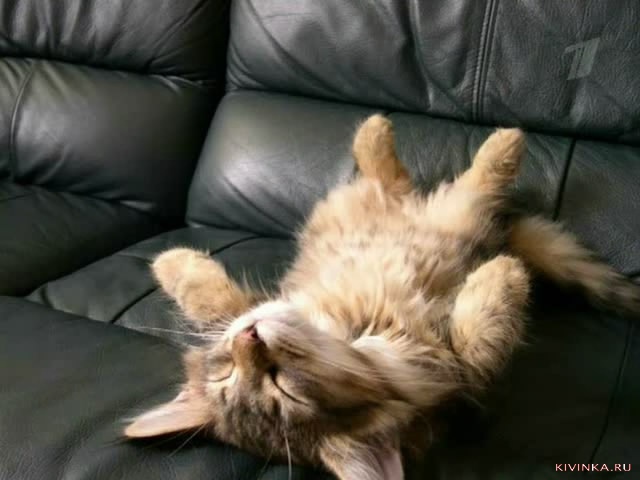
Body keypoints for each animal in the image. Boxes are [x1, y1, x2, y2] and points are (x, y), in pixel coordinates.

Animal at [124, 115, 640, 480]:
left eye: (227, 371)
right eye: (282, 387)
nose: (251, 336)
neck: (357, 333)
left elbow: (209, 297)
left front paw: (168, 261)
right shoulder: (458, 371)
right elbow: (483, 340)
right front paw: (504, 274)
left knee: (387, 175)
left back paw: (379, 128)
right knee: (418, 181)